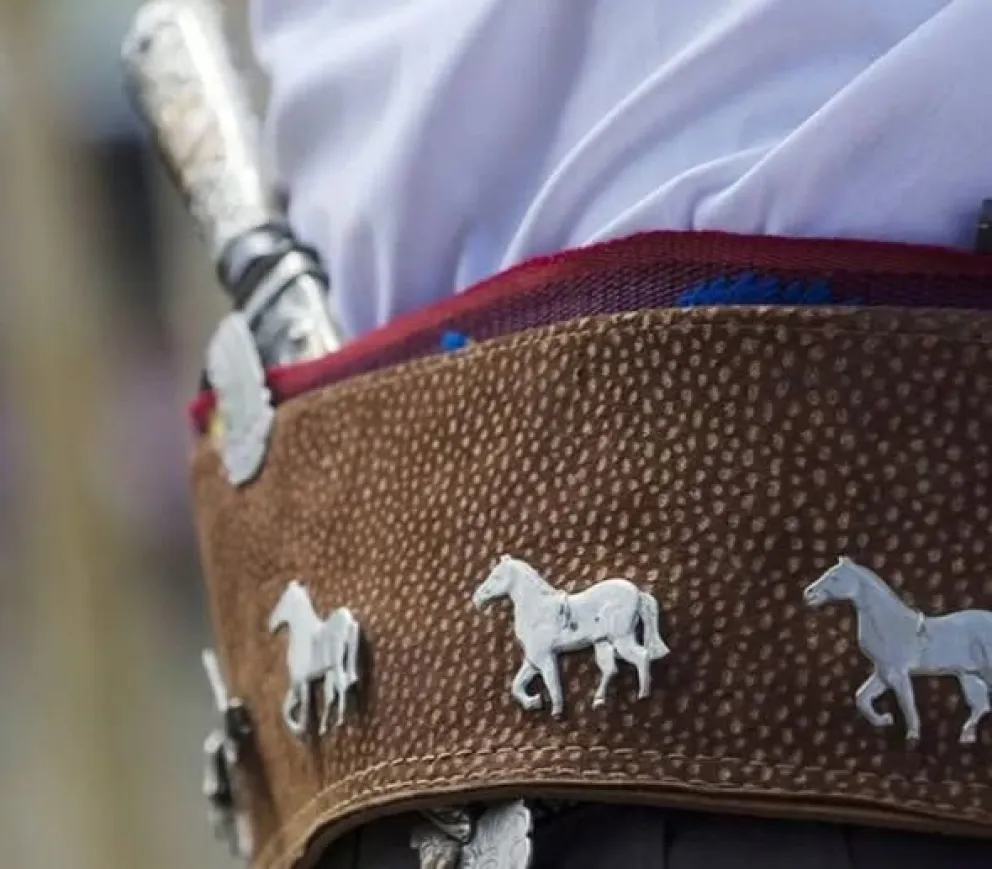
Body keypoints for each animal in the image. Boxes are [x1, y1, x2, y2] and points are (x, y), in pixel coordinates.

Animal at [268, 580, 361, 738]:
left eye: (282, 600)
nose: (270, 624)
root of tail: (349, 621)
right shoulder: (307, 680)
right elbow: (287, 707)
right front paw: (315, 728)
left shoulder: (300, 681)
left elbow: (298, 707)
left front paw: (300, 728)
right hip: (339, 663)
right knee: (347, 680)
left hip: (336, 664)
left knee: (342, 684)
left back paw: (339, 719)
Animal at [472, 555, 670, 717]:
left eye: (496, 576)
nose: (477, 599)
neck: (537, 608)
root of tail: (638, 593)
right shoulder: (532, 659)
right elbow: (516, 685)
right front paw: (534, 702)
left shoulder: (544, 657)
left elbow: (551, 682)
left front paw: (556, 712)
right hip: (602, 643)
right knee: (610, 669)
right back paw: (598, 701)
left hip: (621, 640)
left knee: (641, 656)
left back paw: (643, 694)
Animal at [803, 556, 992, 744]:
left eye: (835, 577)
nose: (808, 593)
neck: (889, 625)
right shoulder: (882, 672)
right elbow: (862, 696)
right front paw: (884, 720)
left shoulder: (897, 673)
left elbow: (906, 703)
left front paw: (912, 735)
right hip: (968, 675)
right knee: (981, 706)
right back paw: (966, 736)